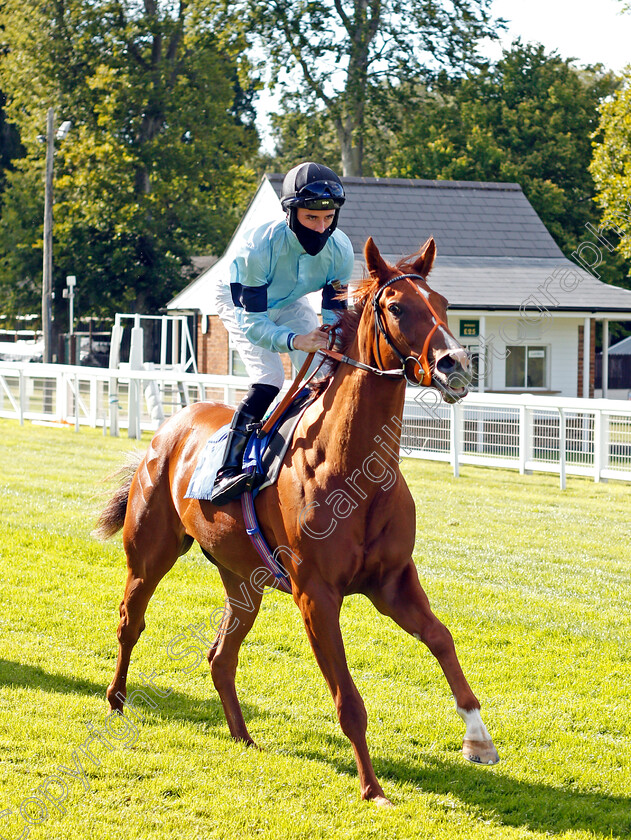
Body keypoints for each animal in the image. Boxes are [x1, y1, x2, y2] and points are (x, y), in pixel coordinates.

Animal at [97, 236, 498, 808]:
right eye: (397, 308)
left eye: (443, 305)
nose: (455, 364)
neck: (352, 470)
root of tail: (171, 426)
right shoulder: (316, 594)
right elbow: (348, 698)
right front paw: (372, 787)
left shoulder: (392, 581)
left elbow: (442, 639)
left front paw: (477, 738)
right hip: (149, 553)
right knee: (131, 621)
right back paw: (115, 699)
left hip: (243, 580)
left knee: (221, 657)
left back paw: (242, 735)